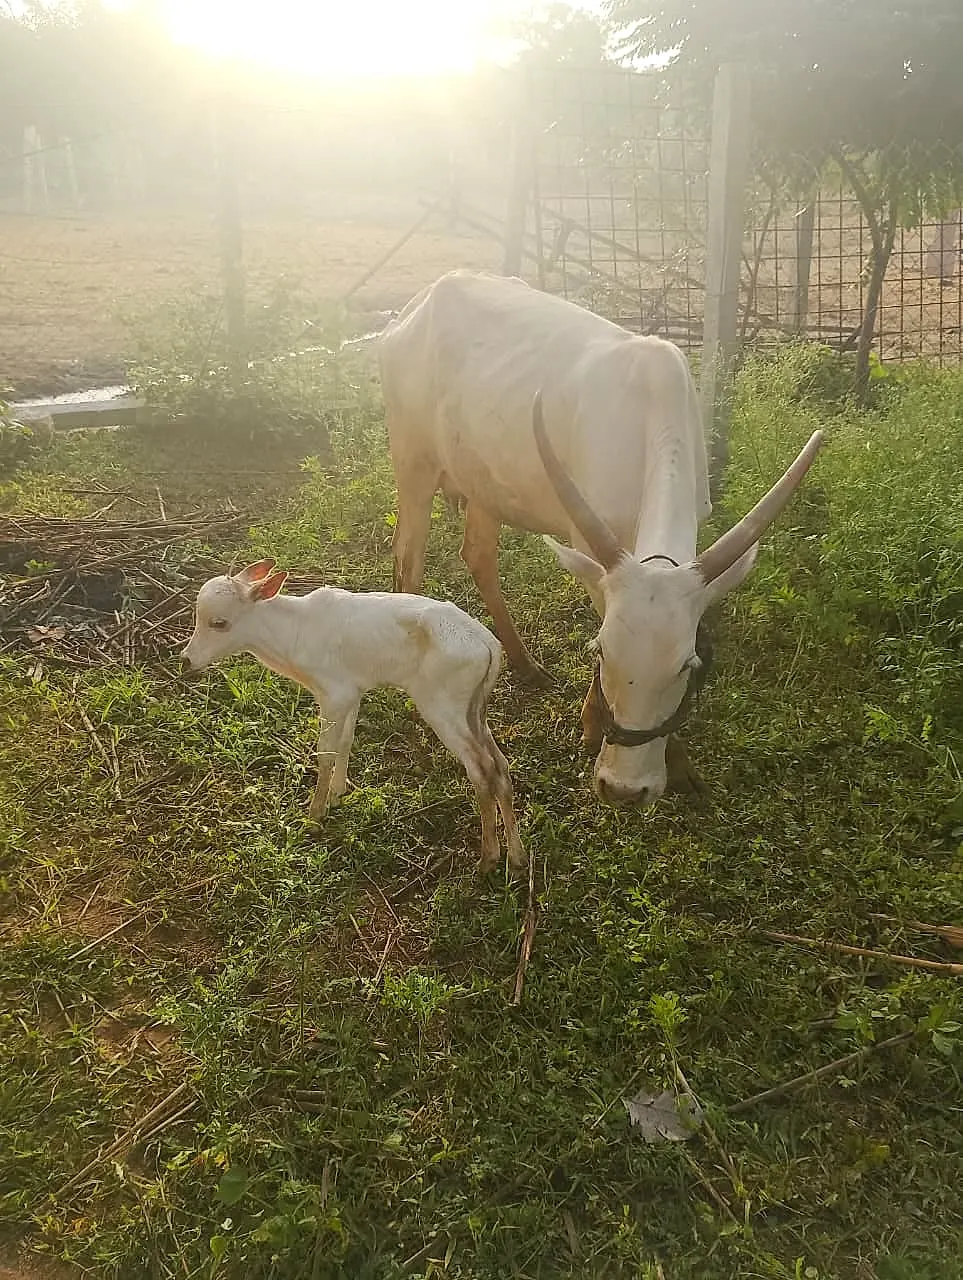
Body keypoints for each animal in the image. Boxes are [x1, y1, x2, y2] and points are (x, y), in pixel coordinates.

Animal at [379, 271, 822, 807]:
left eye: (688, 665)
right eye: (601, 652)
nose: (625, 790)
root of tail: (416, 307)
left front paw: (680, 764)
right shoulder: (589, 546)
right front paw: (594, 724)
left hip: (485, 482)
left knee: (478, 554)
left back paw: (526, 664)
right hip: (413, 462)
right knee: (408, 558)